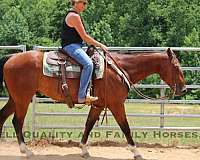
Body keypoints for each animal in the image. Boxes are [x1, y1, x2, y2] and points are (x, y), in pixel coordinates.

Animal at [0, 48, 186, 159]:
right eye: (176, 67)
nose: (183, 89)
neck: (120, 69)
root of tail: (11, 58)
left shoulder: (99, 106)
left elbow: (89, 125)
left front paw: (84, 149)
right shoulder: (116, 105)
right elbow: (125, 127)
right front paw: (136, 152)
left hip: (14, 99)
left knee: (2, 117)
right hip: (22, 99)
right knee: (17, 121)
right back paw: (27, 151)